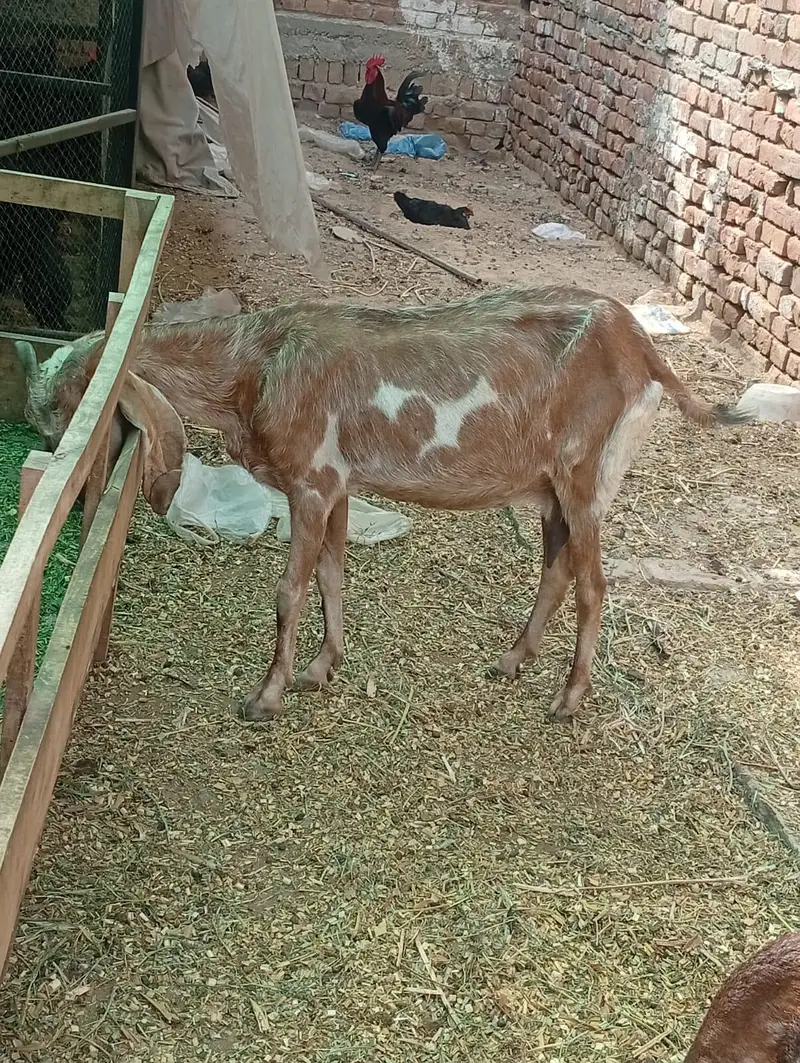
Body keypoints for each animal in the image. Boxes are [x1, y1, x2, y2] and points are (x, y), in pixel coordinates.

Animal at [14, 287, 785, 722]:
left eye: (68, 410)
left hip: (586, 473)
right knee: (558, 568)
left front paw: (265, 697)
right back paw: (512, 660)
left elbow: (289, 590)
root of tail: (642, 347)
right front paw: (322, 670)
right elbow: (332, 575)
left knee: (595, 584)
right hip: (551, 490)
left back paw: (566, 701)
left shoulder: (312, 479)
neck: (251, 363)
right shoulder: (338, 485)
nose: (60, 471)